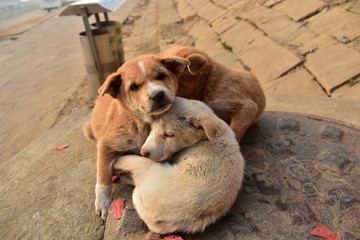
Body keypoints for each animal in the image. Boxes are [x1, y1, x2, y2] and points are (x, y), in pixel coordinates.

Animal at [82, 54, 188, 219]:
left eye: (161, 76)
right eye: (133, 87)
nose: (158, 95)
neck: (142, 123)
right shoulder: (106, 144)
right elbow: (103, 175)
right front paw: (103, 203)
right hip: (88, 130)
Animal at [114, 96, 246, 233]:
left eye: (169, 135)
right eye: (152, 128)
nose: (143, 152)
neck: (213, 136)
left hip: (150, 168)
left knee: (132, 166)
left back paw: (119, 162)